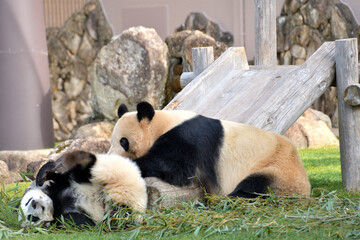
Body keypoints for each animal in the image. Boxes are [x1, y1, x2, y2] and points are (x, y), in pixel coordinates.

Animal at [17, 151, 148, 228]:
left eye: (27, 201)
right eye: (32, 218)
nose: (34, 203)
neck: (55, 202)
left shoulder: (61, 185)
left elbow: (58, 176)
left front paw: (43, 175)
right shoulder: (62, 216)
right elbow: (82, 222)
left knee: (84, 169)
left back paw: (71, 159)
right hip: (125, 207)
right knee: (123, 215)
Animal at [108, 102, 310, 198]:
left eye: (123, 142)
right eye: (111, 141)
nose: (111, 155)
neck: (162, 123)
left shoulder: (187, 139)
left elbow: (176, 168)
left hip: (278, 168)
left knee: (256, 188)